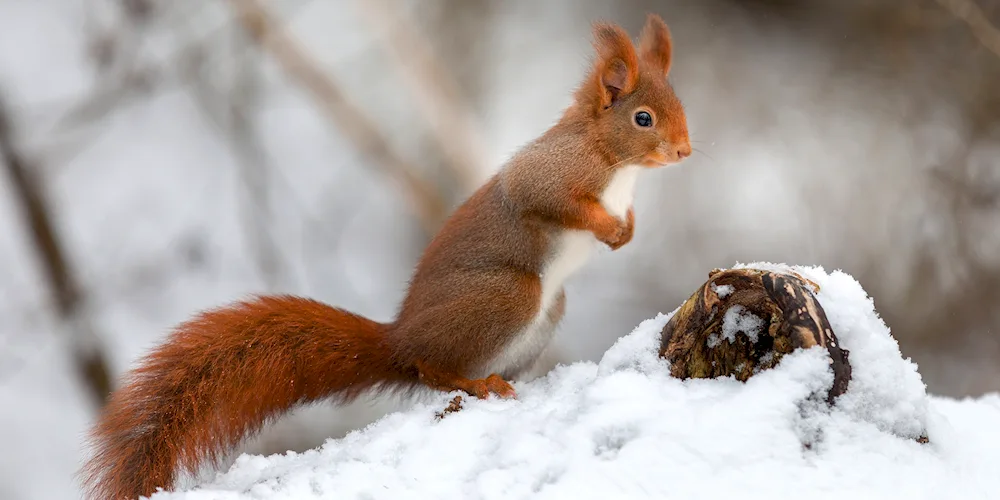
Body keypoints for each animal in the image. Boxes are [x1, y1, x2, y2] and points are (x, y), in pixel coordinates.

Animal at [80, 13, 688, 498]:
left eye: (679, 105)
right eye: (643, 118)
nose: (684, 151)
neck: (616, 164)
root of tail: (398, 339)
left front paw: (626, 232)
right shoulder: (552, 172)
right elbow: (549, 199)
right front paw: (607, 228)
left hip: (543, 313)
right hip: (510, 295)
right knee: (432, 369)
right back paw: (473, 382)